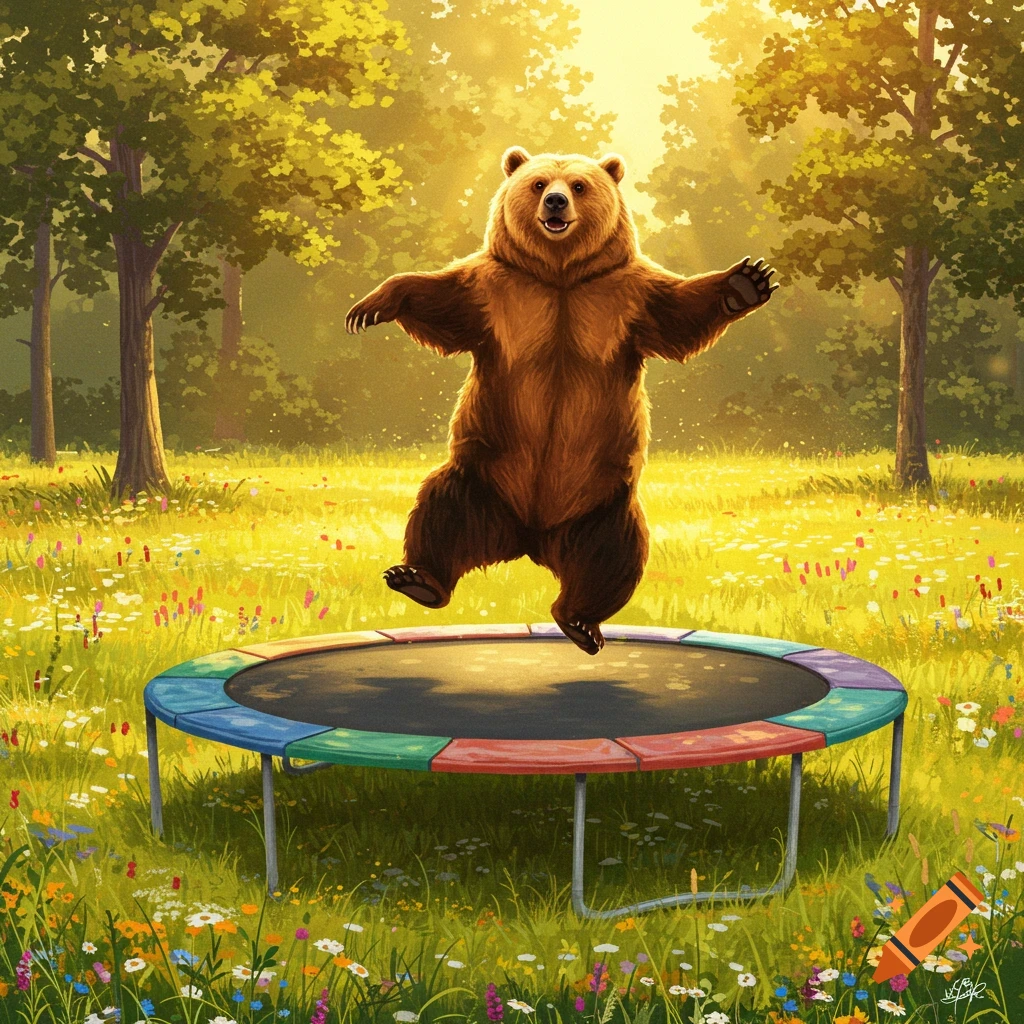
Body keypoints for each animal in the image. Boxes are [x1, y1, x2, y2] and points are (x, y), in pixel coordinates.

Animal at [345, 146, 777, 655]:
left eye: (578, 185)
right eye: (537, 183)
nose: (554, 202)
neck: (560, 278)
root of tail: (529, 538)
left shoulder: (625, 295)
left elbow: (678, 310)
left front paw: (747, 280)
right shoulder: (496, 289)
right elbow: (440, 298)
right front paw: (371, 304)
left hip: (603, 504)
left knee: (613, 555)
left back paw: (579, 621)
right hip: (481, 476)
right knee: (440, 509)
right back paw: (417, 578)